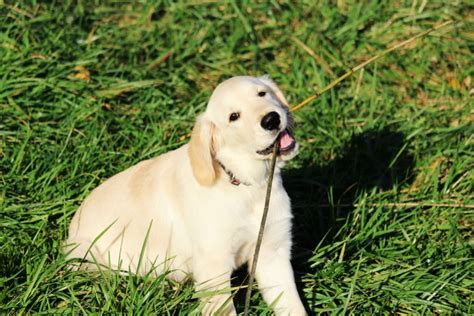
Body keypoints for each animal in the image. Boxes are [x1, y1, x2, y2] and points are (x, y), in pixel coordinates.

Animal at [65, 75, 306, 314]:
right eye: (234, 116)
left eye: (262, 93)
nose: (271, 119)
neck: (248, 186)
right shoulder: (213, 267)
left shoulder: (272, 252)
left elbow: (293, 306)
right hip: (87, 255)